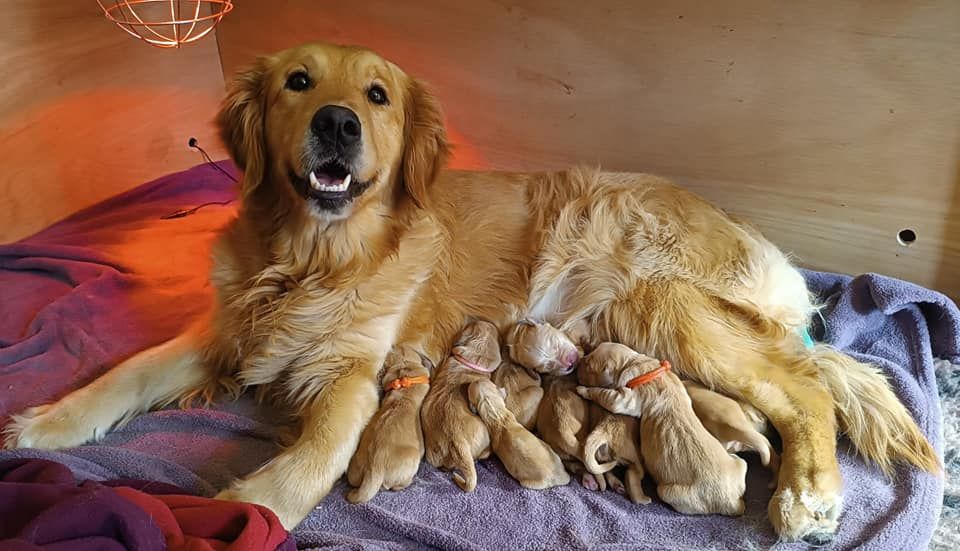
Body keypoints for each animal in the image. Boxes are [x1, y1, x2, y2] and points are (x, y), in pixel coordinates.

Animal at [572, 344, 748, 516]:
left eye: (588, 364)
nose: (577, 362)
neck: (636, 362)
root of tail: (733, 504)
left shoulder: (626, 399)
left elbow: (606, 396)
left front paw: (582, 390)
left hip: (669, 492)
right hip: (741, 466)